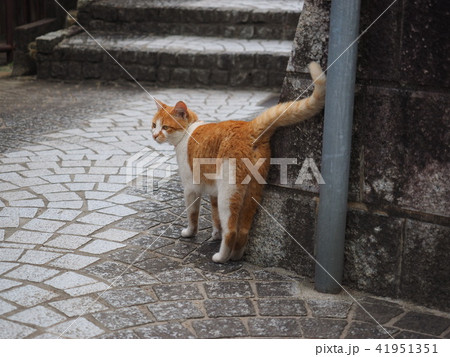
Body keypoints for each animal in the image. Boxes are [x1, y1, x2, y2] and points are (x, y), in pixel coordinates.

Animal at [153, 62, 326, 262]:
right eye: (154, 125)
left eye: (165, 127)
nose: (154, 135)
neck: (189, 131)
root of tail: (249, 127)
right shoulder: (213, 192)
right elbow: (215, 218)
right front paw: (215, 234)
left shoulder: (191, 188)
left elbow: (193, 214)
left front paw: (190, 232)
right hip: (252, 190)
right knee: (243, 230)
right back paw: (235, 256)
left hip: (228, 192)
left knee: (231, 230)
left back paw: (220, 257)